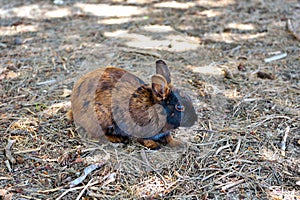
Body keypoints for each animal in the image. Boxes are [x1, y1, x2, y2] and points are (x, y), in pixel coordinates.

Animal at [69, 60, 198, 149]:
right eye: (179, 107)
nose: (195, 120)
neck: (155, 110)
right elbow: (141, 139)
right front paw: (153, 145)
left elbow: (168, 138)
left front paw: (179, 143)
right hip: (102, 117)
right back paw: (117, 139)